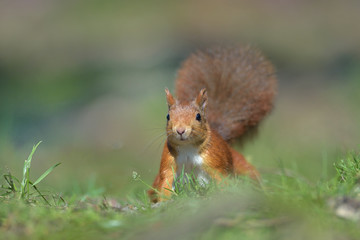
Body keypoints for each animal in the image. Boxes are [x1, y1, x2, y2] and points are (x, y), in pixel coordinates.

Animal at [148, 45, 278, 202]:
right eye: (168, 116)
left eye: (198, 116)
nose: (180, 130)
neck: (188, 148)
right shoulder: (168, 162)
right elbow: (165, 183)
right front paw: (163, 203)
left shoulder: (215, 162)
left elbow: (222, 181)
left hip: (239, 163)